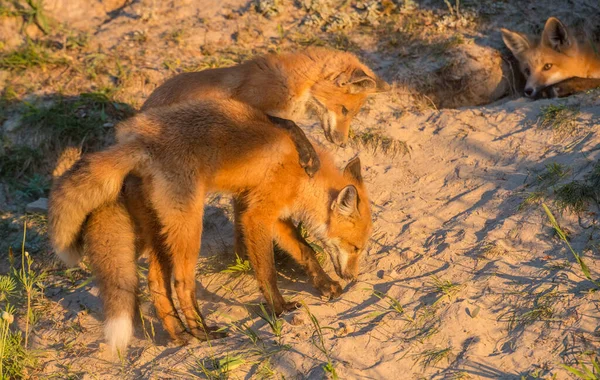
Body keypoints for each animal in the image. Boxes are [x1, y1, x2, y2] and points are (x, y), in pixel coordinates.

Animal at [49, 98, 372, 354]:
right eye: (355, 247)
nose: (353, 277)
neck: (303, 175)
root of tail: (137, 142)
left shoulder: (274, 215)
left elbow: (306, 251)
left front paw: (325, 285)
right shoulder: (256, 215)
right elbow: (267, 271)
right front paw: (279, 308)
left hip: (158, 231)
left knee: (155, 282)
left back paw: (178, 334)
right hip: (189, 225)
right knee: (181, 283)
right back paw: (201, 332)